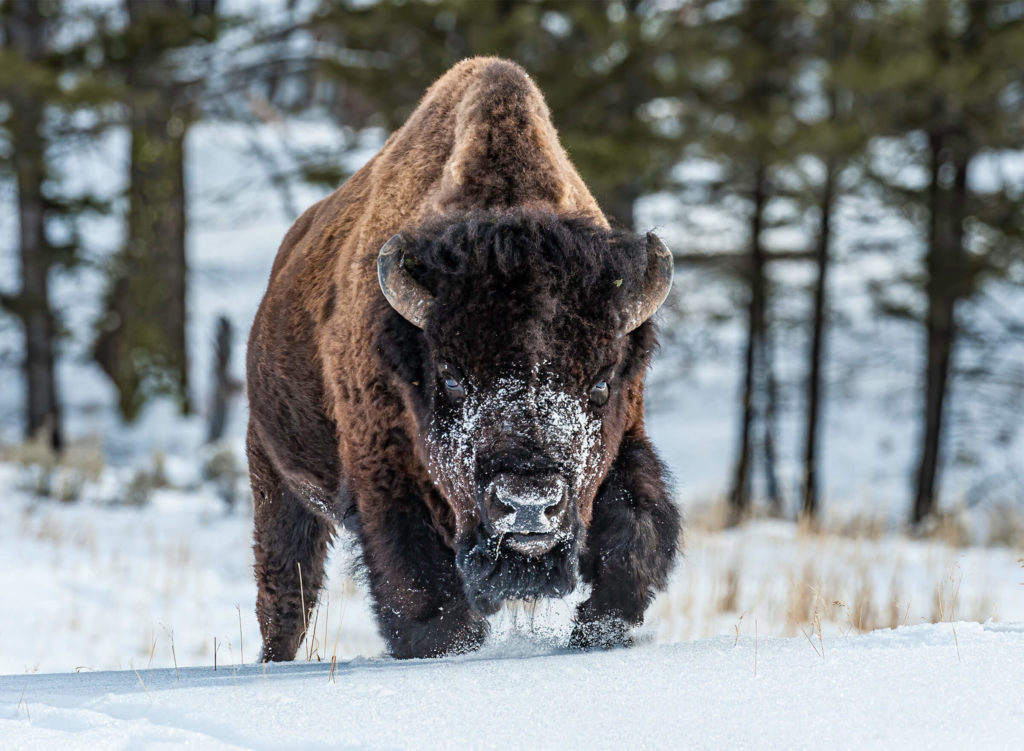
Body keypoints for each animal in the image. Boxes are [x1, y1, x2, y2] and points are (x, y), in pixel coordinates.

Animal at [245, 55, 679, 659]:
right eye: (450, 380)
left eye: (600, 385)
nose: (528, 503)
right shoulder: (386, 476)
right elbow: (424, 590)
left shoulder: (625, 443)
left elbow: (637, 537)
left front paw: (595, 632)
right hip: (274, 477)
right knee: (287, 592)